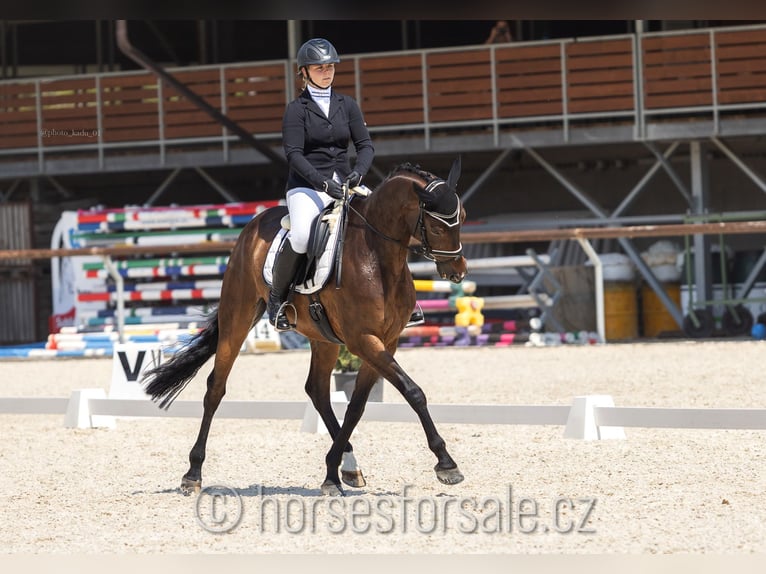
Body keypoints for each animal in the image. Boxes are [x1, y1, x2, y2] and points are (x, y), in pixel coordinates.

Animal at [142, 160, 472, 498]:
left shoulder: (385, 341)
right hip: (238, 316)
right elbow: (413, 392)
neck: (377, 259)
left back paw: (347, 468)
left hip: (324, 338)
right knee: (215, 388)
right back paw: (192, 474)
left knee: (317, 390)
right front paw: (446, 464)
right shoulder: (364, 341)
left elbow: (356, 407)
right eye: (436, 227)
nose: (457, 272)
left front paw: (333, 473)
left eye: (463, 217)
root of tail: (254, 224)